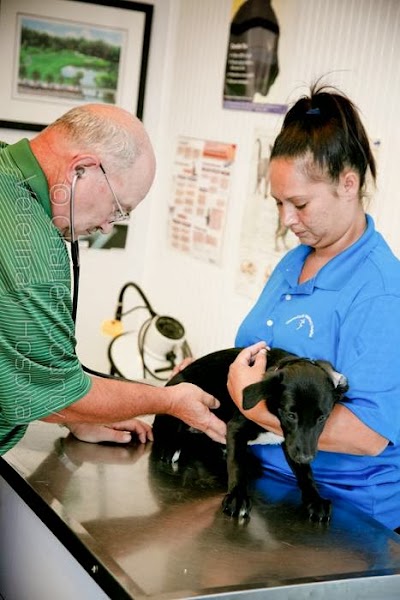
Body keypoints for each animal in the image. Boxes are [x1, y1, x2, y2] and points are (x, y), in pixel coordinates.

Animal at [152, 346, 348, 520]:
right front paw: (237, 497)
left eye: (322, 418)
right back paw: (170, 448)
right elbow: (236, 464)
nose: (306, 457)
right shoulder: (236, 428)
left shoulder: (292, 442)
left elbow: (305, 473)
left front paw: (314, 498)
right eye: (290, 415)